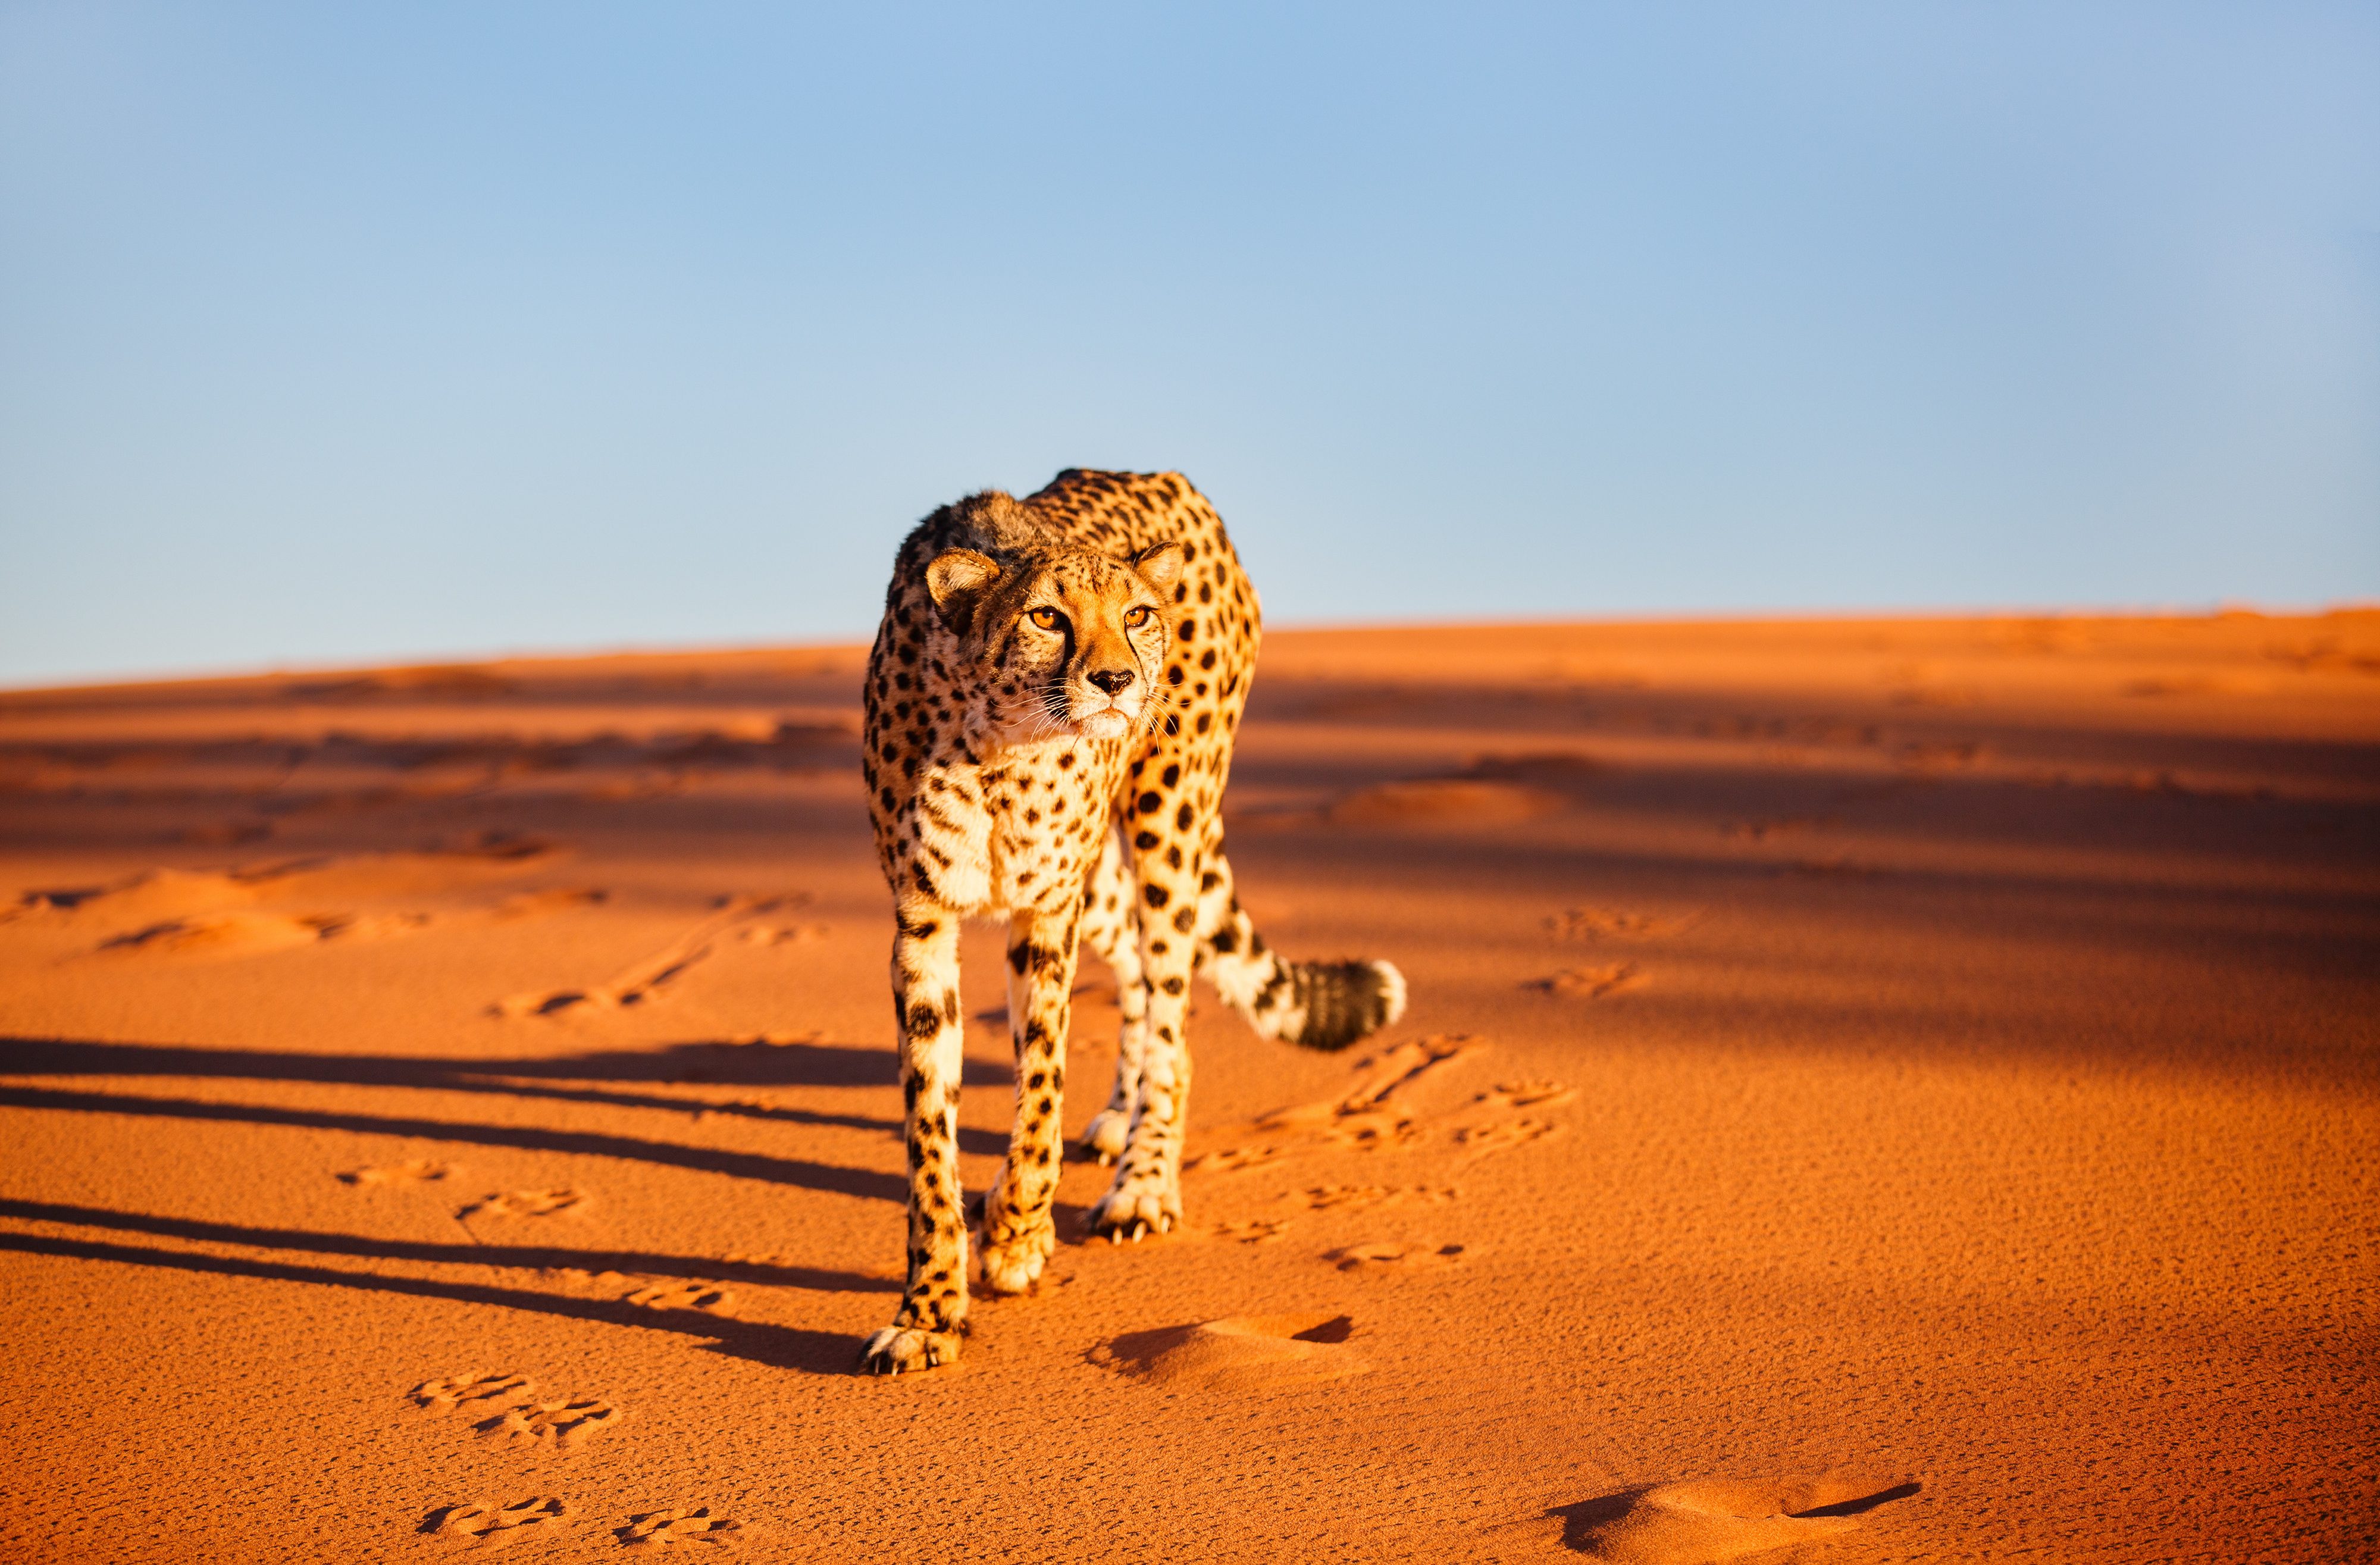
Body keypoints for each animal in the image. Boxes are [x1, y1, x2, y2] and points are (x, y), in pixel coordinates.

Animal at [857, 468, 1407, 1375]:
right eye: (1047, 616)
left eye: (1138, 614)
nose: (1116, 681)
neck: (996, 742)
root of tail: (1171, 480)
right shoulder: (923, 919)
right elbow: (930, 1134)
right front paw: (932, 1310)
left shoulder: (1048, 909)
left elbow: (1039, 1097)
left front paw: (1017, 1232)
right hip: (1109, 870)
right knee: (1144, 980)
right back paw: (1118, 1118)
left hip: (1168, 819)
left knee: (1174, 1008)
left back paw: (1143, 1183)